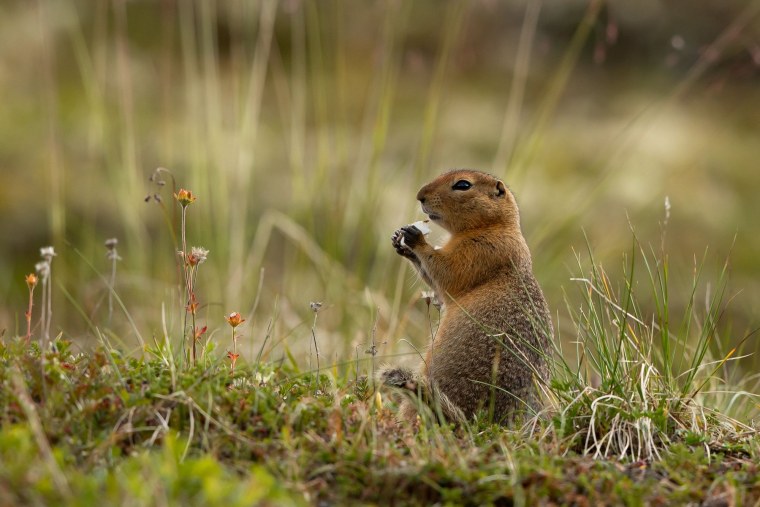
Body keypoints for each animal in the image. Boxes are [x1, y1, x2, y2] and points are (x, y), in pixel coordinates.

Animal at [380, 169, 553, 425]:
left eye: (463, 185)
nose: (420, 195)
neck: (495, 226)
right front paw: (399, 241)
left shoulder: (480, 250)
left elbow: (447, 271)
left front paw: (415, 239)